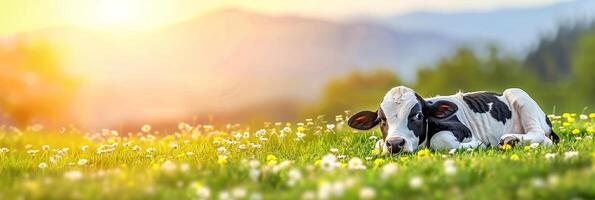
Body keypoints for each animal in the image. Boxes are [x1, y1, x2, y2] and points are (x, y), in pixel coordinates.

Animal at [346, 86, 560, 153]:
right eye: (382, 120)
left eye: (417, 115)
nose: (395, 144)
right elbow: (377, 145)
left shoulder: (461, 129)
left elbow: (439, 140)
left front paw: (478, 144)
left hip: (519, 95)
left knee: (541, 136)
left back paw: (510, 139)